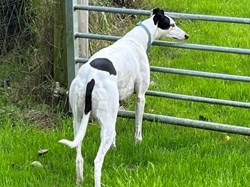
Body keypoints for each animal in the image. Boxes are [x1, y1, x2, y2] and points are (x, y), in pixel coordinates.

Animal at [59, 7, 188, 187]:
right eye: (172, 24)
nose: (186, 36)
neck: (137, 39)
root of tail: (90, 80)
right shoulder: (140, 96)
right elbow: (138, 124)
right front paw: (138, 142)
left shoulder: (117, 102)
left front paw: (114, 146)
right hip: (103, 121)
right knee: (97, 161)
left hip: (78, 120)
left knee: (79, 156)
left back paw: (79, 179)